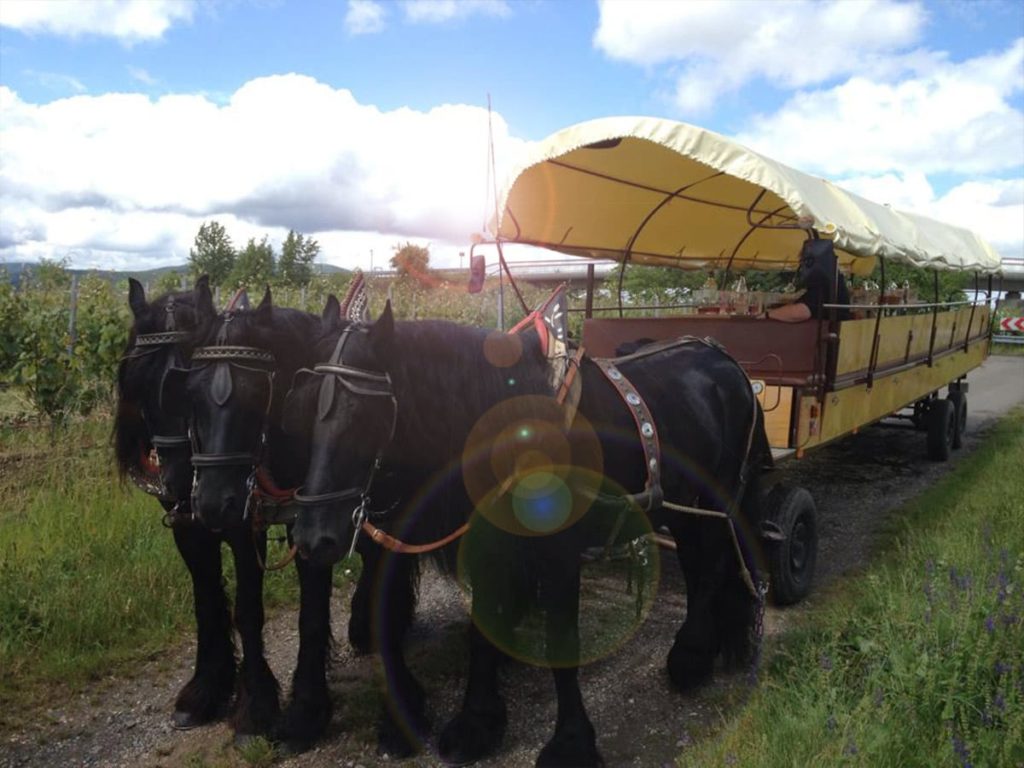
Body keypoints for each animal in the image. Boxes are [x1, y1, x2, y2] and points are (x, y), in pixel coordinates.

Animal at [159, 280, 342, 749]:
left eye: (260, 393)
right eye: (191, 393)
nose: (211, 502)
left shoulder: (309, 526)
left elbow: (310, 615)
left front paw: (304, 712)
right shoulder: (242, 525)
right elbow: (237, 608)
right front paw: (235, 701)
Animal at [288, 303, 770, 765]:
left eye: (364, 416)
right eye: (303, 409)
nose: (314, 537)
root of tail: (723, 359)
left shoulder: (559, 549)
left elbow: (561, 637)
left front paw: (570, 742)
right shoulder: (491, 546)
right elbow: (483, 627)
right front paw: (477, 724)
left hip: (721, 495)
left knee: (713, 564)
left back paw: (692, 656)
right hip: (684, 502)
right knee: (696, 562)